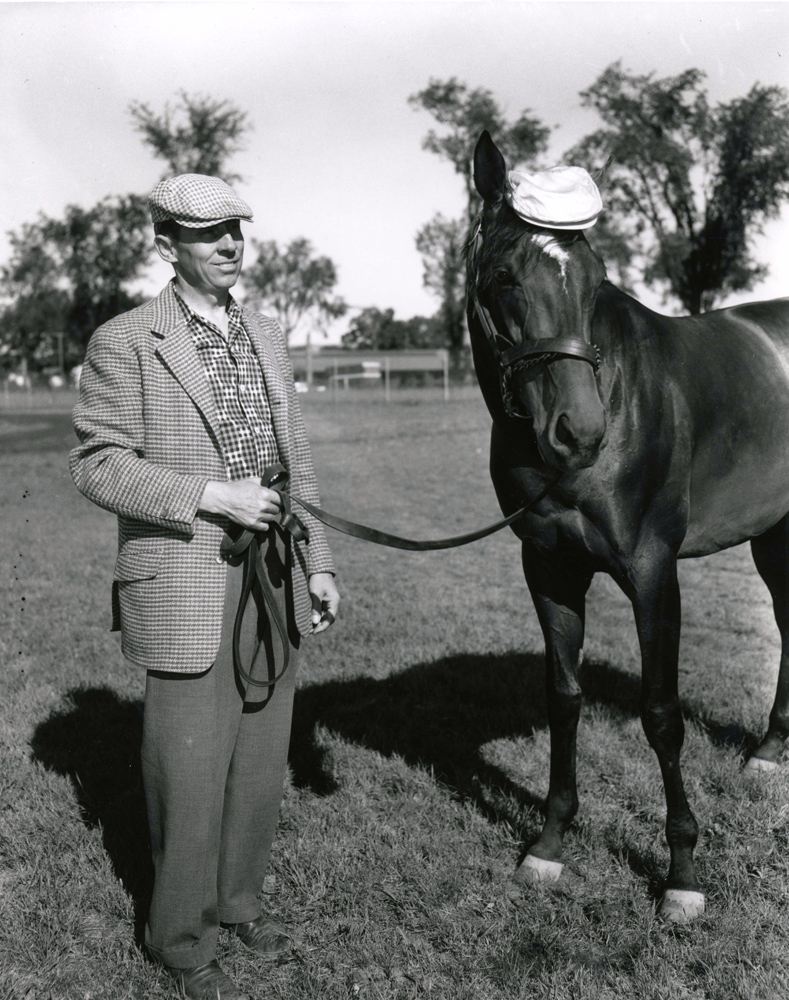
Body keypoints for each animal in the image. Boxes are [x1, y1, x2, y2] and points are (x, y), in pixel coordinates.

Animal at [464, 129, 788, 924]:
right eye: (504, 277)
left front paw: (682, 875)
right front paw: (549, 844)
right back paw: (768, 752)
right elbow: (564, 697)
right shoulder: (548, 566)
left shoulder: (652, 571)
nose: (578, 432)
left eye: (594, 277)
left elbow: (662, 715)